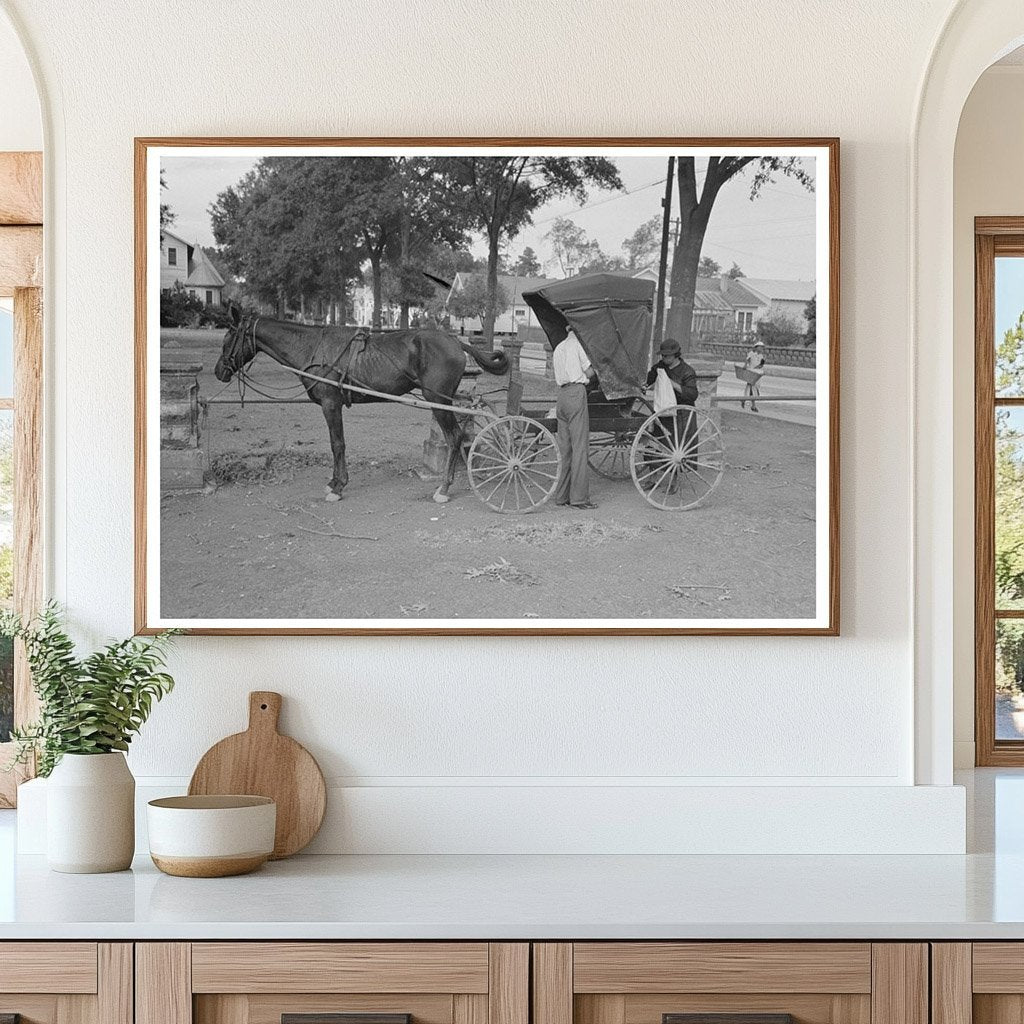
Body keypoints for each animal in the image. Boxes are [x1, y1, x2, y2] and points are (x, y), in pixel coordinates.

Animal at [214, 301, 509, 505]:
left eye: (228, 339)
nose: (219, 371)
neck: (313, 347)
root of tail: (456, 341)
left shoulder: (330, 404)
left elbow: (337, 444)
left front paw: (338, 486)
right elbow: (337, 444)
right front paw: (334, 481)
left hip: (437, 400)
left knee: (454, 437)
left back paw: (444, 488)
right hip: (447, 399)